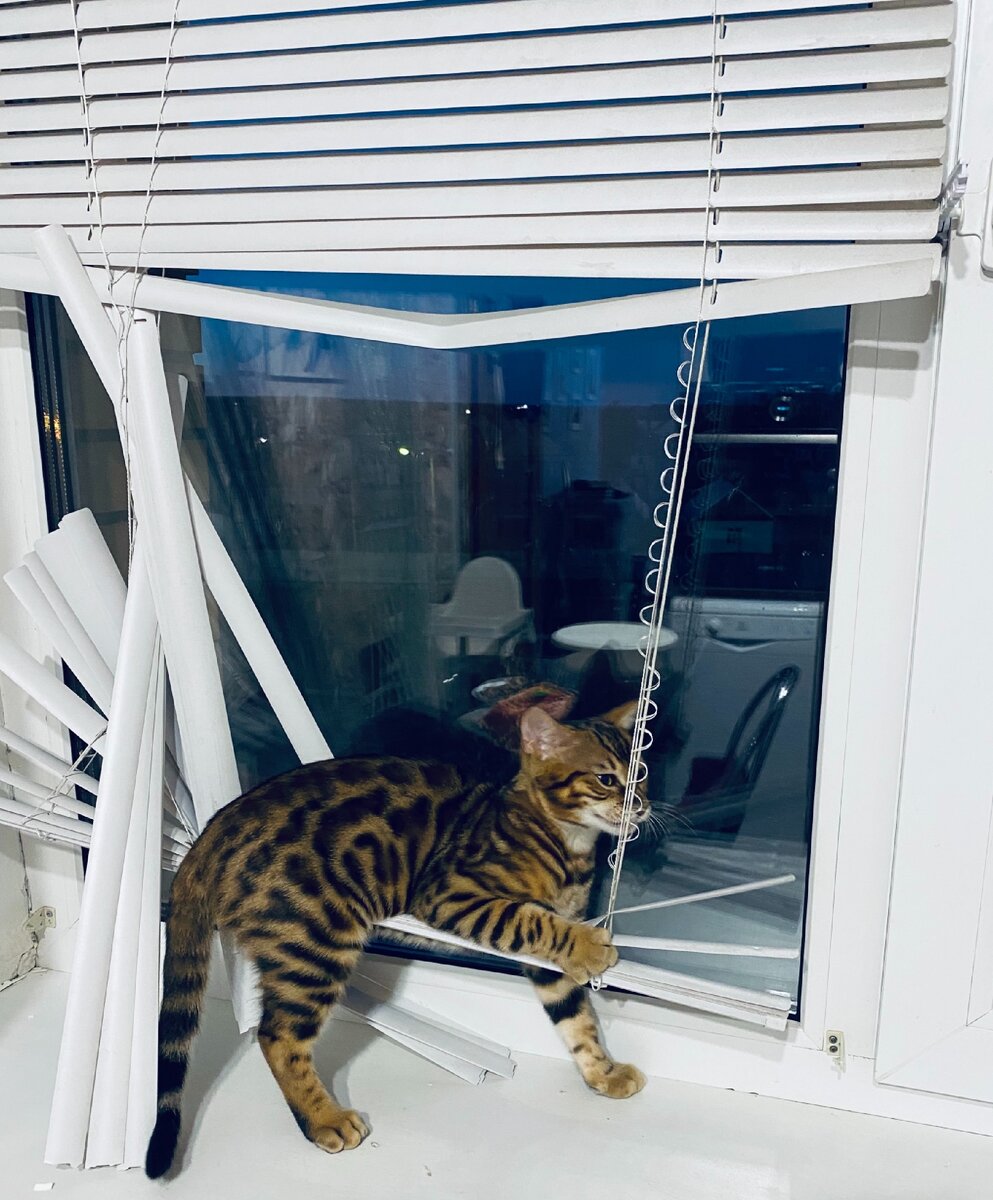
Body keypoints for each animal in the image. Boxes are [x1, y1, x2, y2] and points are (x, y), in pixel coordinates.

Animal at [145, 702, 648, 1178]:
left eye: (641, 775)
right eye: (606, 778)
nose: (642, 806)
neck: (567, 844)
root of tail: (210, 833)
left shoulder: (546, 966)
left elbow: (576, 1019)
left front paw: (602, 1073)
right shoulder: (453, 894)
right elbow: (535, 922)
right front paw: (591, 947)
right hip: (316, 945)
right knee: (277, 1037)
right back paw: (323, 1120)